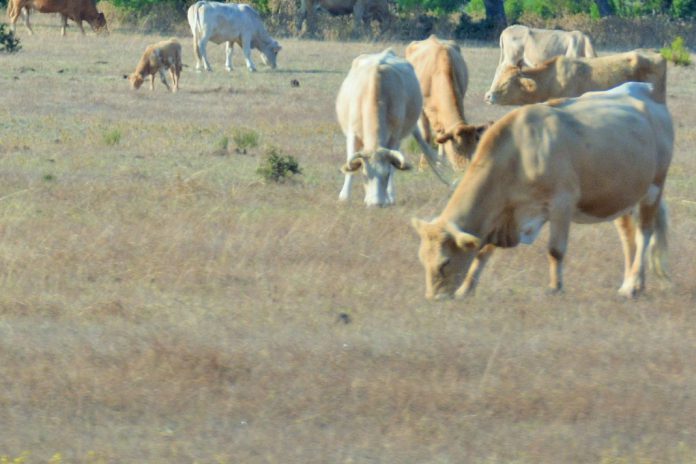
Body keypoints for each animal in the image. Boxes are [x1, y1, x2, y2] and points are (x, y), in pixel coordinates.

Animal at [402, 35, 490, 172]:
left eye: (475, 145)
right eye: (457, 147)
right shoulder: (422, 110)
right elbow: (426, 136)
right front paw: (423, 166)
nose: (464, 169)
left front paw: (440, 163)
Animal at [410, 82, 672, 300]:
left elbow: (555, 250)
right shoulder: (506, 216)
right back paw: (633, 284)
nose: (435, 297)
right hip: (622, 197)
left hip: (654, 188)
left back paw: (631, 285)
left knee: (644, 234)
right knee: (628, 238)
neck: (518, 154)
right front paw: (466, 289)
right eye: (422, 259)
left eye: (444, 262)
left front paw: (555, 288)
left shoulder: (561, 204)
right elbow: (483, 251)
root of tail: (645, 90)